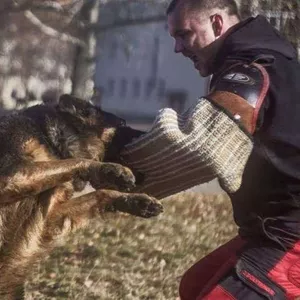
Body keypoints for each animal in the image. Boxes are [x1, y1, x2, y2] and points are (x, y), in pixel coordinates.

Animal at [0, 94, 163, 300]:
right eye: (122, 123)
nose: (149, 134)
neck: (51, 138)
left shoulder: (47, 219)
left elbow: (100, 194)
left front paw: (137, 201)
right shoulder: (12, 174)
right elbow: (77, 161)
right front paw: (109, 170)